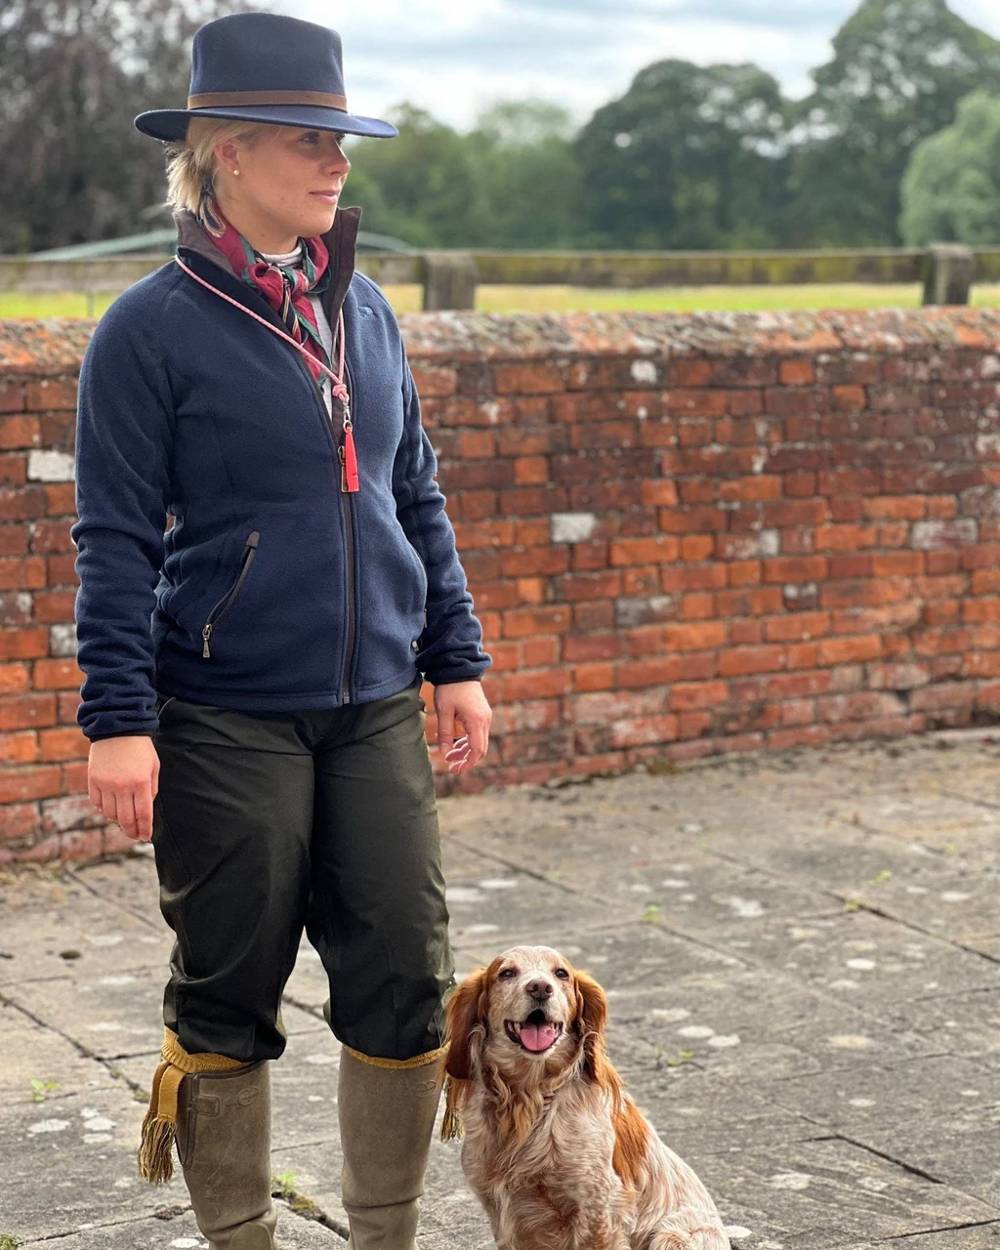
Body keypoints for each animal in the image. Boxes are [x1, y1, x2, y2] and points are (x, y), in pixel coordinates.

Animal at [442, 940, 730, 1245]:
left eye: (561, 973)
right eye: (506, 973)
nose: (540, 987)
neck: (528, 1098)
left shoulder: (597, 1211)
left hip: (671, 1235)